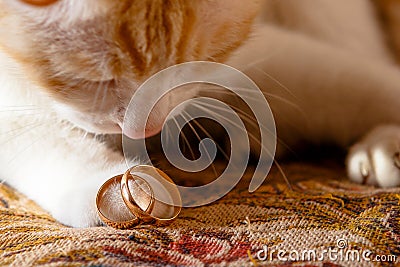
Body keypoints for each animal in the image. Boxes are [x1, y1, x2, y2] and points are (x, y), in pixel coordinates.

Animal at [0, 0, 400, 228]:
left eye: (192, 64)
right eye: (96, 80)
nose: (147, 127)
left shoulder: (266, 59)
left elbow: (366, 83)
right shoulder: (14, 106)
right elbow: (40, 136)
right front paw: (119, 191)